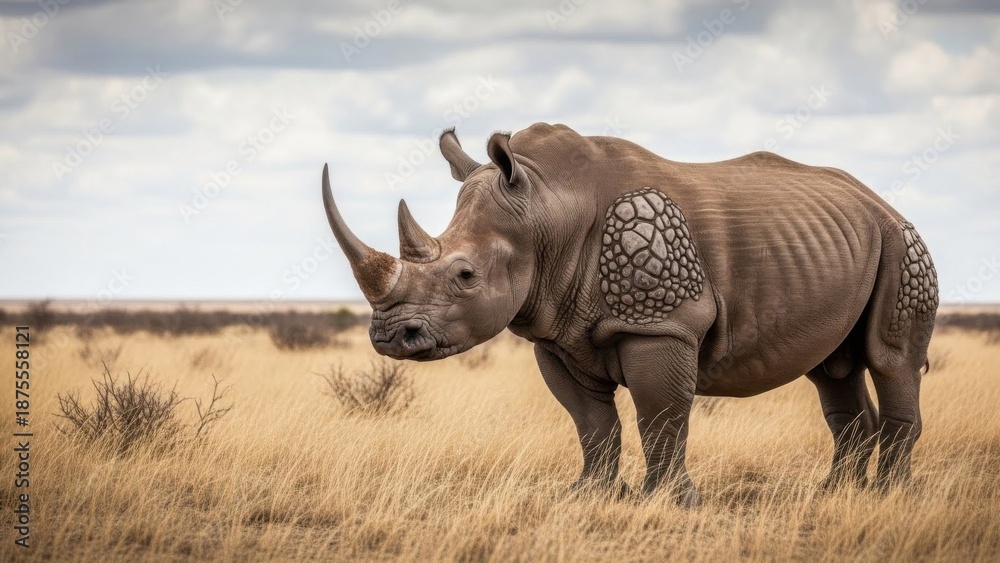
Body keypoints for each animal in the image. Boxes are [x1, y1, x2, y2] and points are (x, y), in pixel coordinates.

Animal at [321, 123, 938, 505]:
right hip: (840, 242)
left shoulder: (661, 324)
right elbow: (591, 423)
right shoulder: (556, 332)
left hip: (902, 241)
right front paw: (586, 495)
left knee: (890, 359)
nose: (389, 336)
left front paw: (670, 503)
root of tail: (879, 200)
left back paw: (889, 495)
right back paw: (836, 494)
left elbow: (660, 413)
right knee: (831, 368)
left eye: (465, 276)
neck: (547, 206)